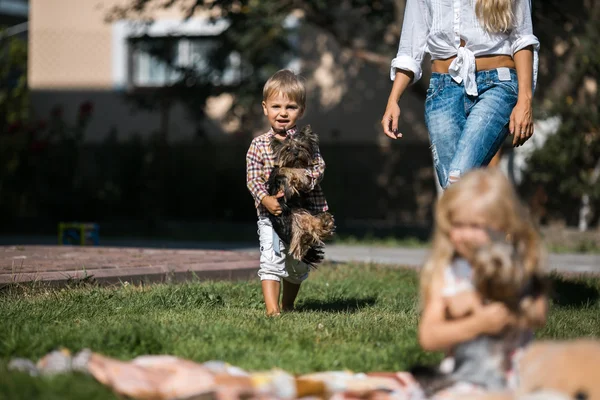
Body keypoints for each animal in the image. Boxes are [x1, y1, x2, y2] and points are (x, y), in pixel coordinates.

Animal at [268, 125, 338, 268]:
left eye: (300, 146)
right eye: (287, 149)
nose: (295, 153)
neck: (296, 164)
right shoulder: (278, 179)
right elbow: (284, 169)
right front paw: (297, 174)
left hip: (304, 215)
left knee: (311, 229)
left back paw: (325, 222)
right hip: (294, 223)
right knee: (299, 241)